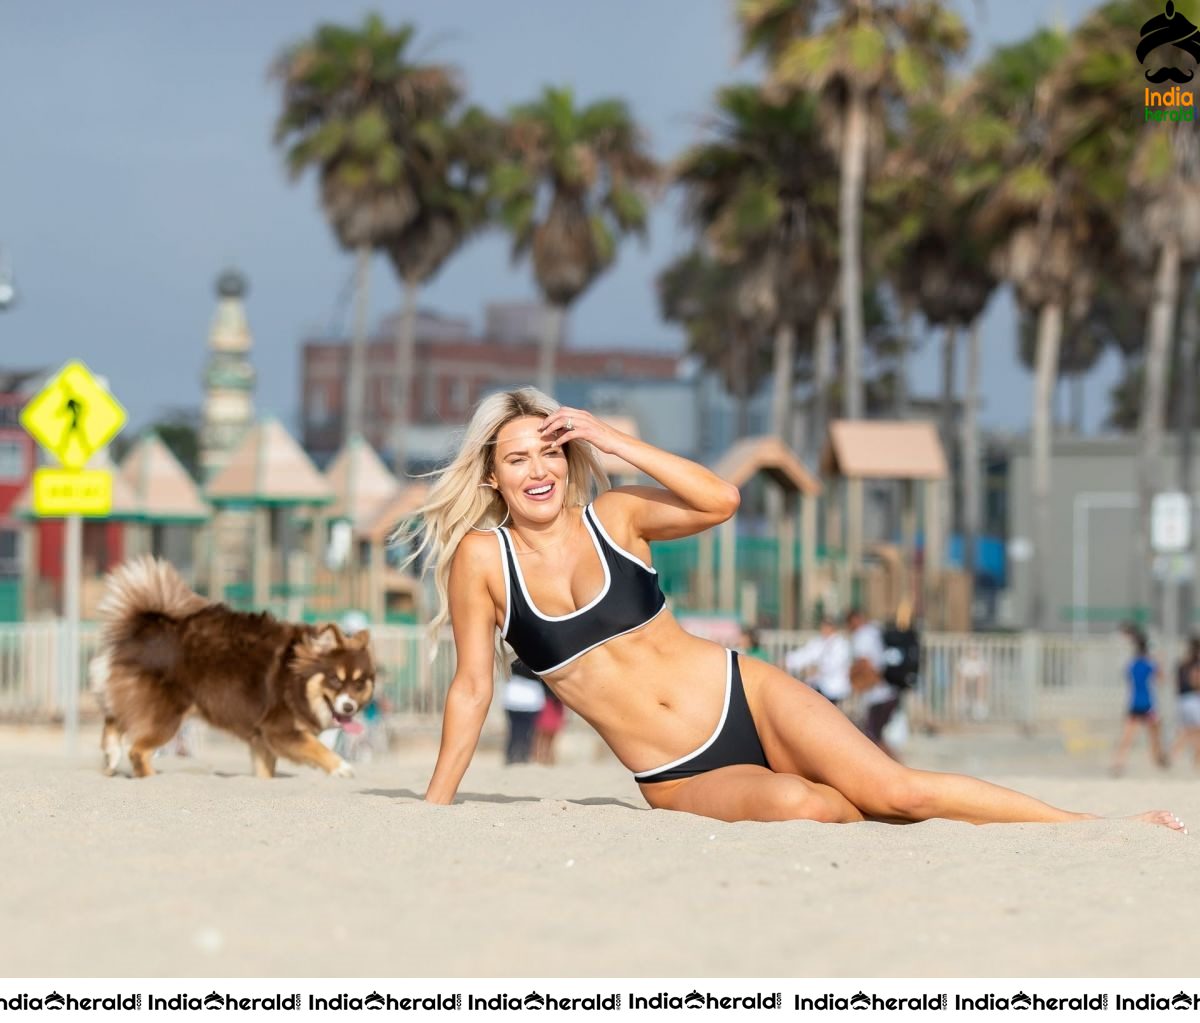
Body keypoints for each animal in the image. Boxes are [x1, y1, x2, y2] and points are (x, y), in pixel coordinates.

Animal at [90, 554, 374, 778]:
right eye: (335, 680)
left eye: (359, 684)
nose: (349, 707)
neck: (294, 679)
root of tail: (143, 629)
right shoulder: (279, 731)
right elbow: (317, 748)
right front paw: (341, 768)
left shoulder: (261, 740)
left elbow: (265, 772)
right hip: (167, 717)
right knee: (138, 751)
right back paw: (149, 776)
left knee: (114, 720)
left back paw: (111, 757)